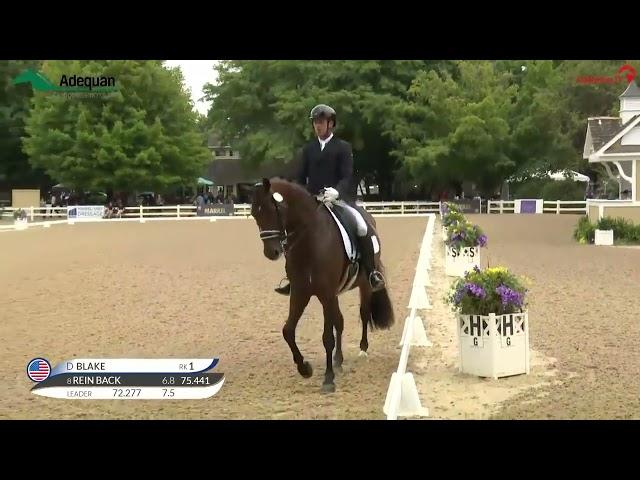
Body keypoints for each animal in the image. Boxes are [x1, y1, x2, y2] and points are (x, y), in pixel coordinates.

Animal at [251, 178, 396, 392]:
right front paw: (304, 368)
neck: (309, 240)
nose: (272, 252)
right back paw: (338, 360)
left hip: (364, 285)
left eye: (274, 209)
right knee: (340, 321)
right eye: (254, 213)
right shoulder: (301, 293)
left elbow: (327, 337)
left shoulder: (325, 294)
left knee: (363, 313)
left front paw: (328, 379)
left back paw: (362, 350)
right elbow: (288, 331)